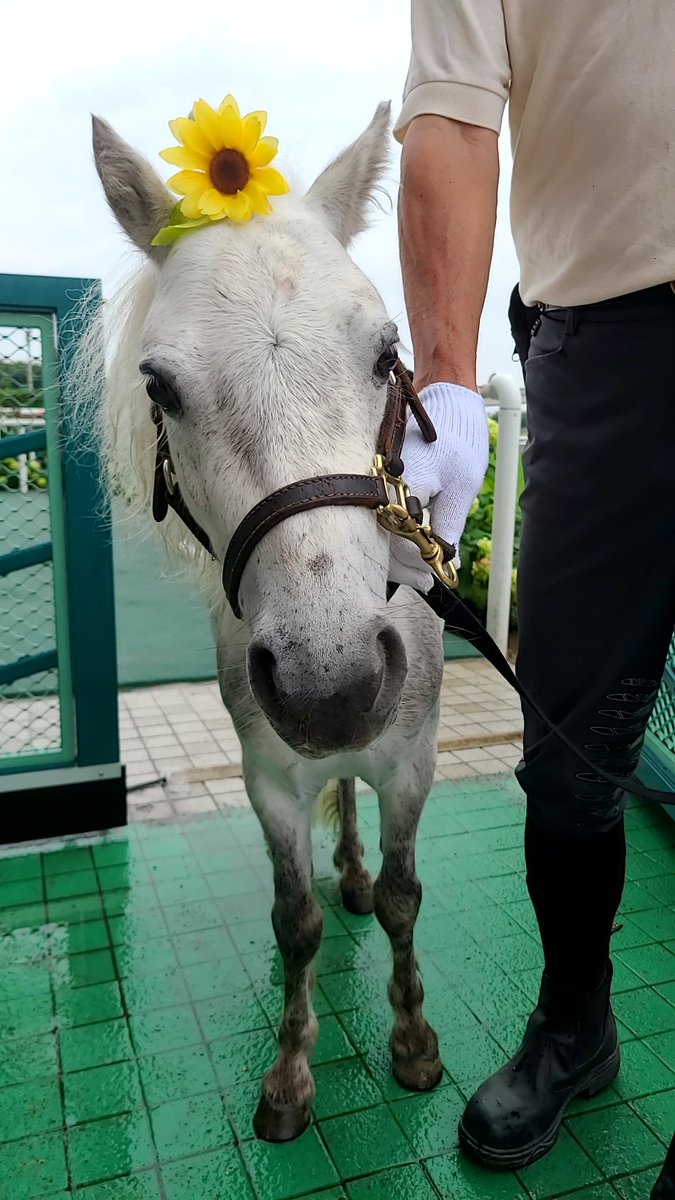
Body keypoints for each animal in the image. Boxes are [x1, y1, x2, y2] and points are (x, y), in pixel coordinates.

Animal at [87, 100, 446, 1143]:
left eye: (386, 356)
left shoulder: (412, 761)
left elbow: (404, 899)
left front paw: (412, 1042)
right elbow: (296, 924)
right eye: (159, 387)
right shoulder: (269, 783)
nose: (332, 689)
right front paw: (289, 1074)